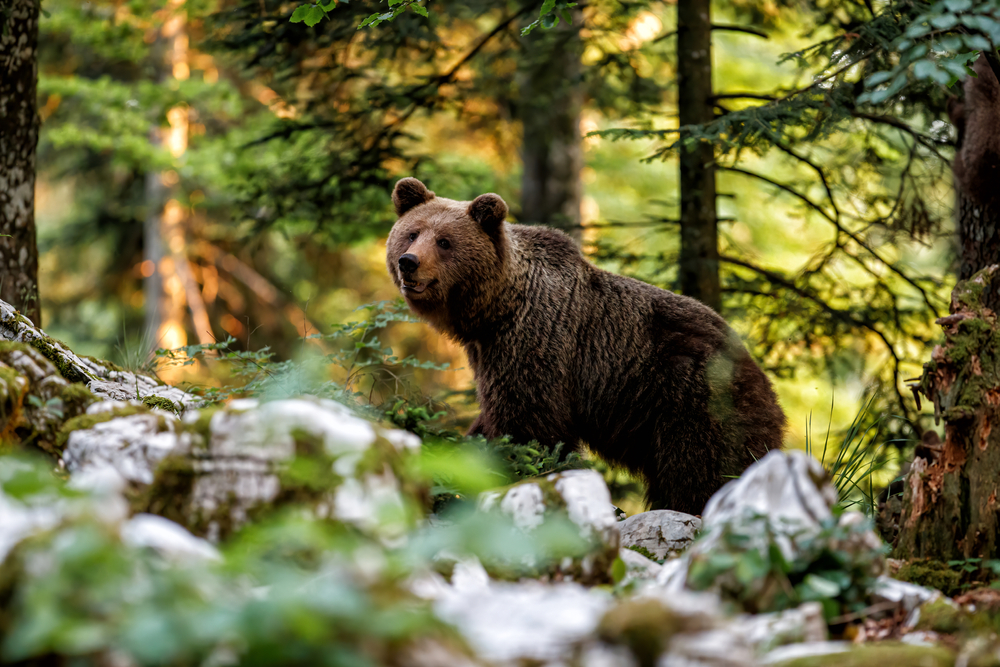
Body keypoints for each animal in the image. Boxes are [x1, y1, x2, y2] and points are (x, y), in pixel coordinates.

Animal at [386, 176, 784, 512]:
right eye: (412, 234)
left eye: (444, 241)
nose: (409, 262)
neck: (494, 311)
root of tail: (756, 369)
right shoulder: (491, 354)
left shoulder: (536, 341)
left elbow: (531, 425)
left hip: (694, 399)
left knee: (703, 468)